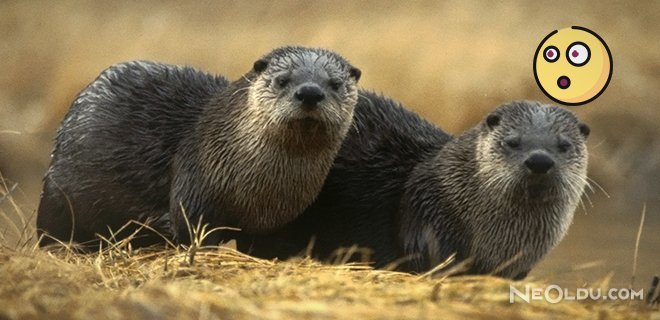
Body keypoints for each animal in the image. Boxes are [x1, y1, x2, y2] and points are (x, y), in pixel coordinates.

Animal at [36, 46, 360, 248]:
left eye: (335, 83)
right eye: (283, 80)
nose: (310, 92)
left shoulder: (275, 222)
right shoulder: (194, 184)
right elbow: (192, 231)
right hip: (57, 196)